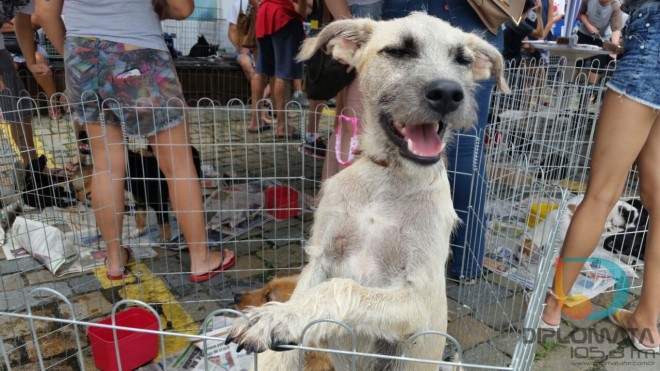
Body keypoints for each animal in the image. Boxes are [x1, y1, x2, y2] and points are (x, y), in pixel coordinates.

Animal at [224, 13, 508, 370]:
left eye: (463, 60)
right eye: (398, 51)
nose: (448, 93)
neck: (387, 180)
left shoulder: (419, 296)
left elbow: (342, 288)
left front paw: (280, 317)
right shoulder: (321, 259)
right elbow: (307, 299)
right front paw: (277, 321)